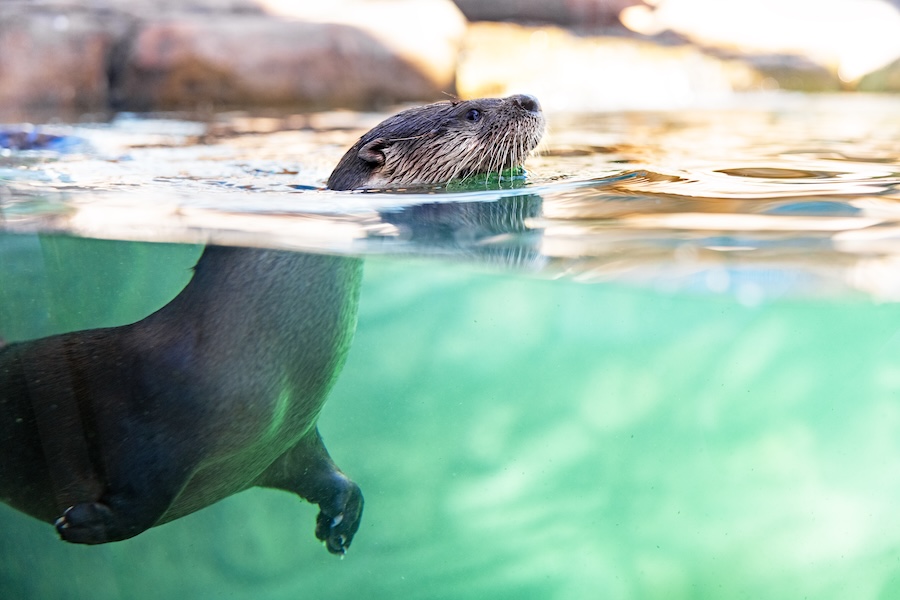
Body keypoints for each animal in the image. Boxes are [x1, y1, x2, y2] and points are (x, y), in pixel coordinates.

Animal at [0, 94, 544, 554]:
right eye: (472, 112)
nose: (530, 99)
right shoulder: (150, 431)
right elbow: (137, 505)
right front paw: (84, 523)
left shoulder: (283, 441)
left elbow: (325, 473)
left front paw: (341, 518)